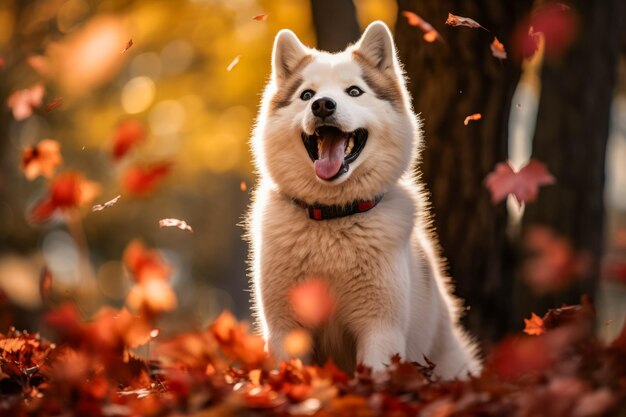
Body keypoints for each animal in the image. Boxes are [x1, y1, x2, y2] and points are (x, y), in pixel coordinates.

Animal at [246, 19, 480, 378]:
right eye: (307, 95)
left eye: (354, 91)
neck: (333, 216)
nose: (323, 105)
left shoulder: (380, 328)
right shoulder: (286, 327)